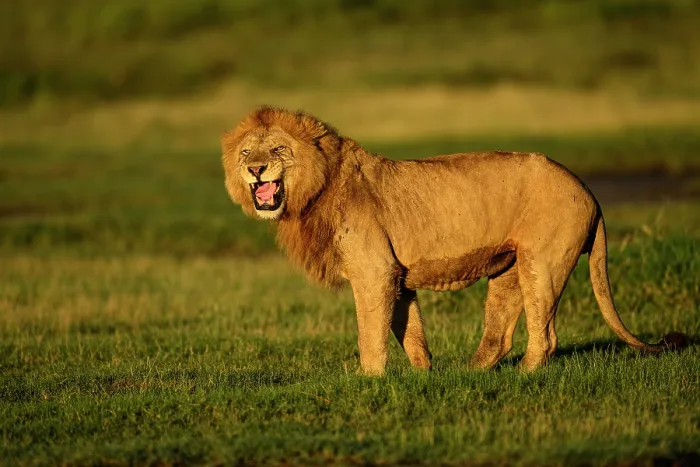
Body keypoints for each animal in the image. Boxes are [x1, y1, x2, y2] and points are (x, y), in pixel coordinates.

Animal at [221, 106, 687, 375]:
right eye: (246, 153)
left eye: (278, 150)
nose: (256, 170)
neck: (313, 191)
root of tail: (587, 187)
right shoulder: (396, 276)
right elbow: (409, 331)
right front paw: (423, 377)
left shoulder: (374, 273)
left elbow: (369, 333)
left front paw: (369, 381)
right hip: (510, 268)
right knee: (500, 335)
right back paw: (471, 374)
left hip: (544, 262)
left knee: (546, 334)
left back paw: (524, 376)